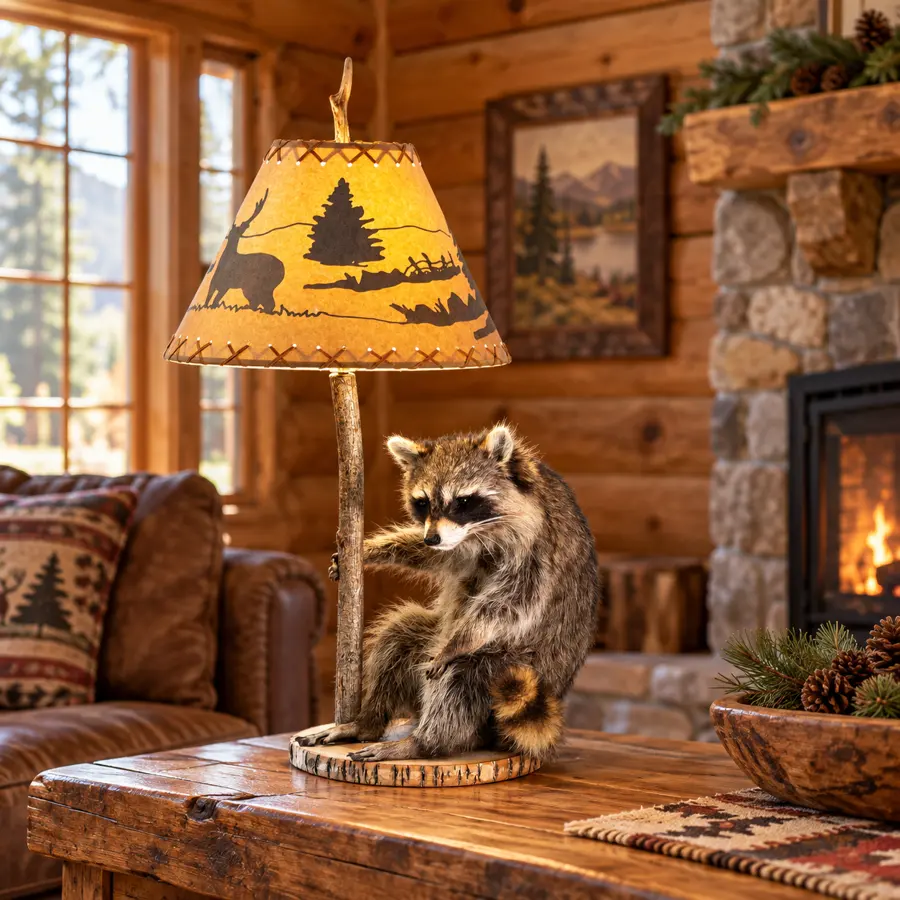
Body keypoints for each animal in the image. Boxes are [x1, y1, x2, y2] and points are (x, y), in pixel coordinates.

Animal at [297, 423, 599, 763]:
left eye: (463, 501)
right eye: (423, 502)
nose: (431, 538)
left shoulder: (540, 548)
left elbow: (510, 602)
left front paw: (459, 641)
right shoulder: (455, 542)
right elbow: (442, 557)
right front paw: (372, 550)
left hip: (517, 666)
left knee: (462, 676)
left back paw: (425, 742)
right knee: (398, 634)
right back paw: (369, 720)